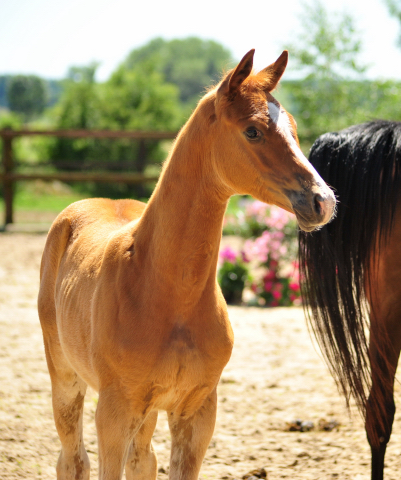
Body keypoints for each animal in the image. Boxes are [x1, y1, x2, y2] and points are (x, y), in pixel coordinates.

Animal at [39, 49, 334, 480]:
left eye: (293, 128)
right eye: (252, 131)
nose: (322, 201)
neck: (166, 293)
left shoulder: (197, 410)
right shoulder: (114, 412)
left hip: (146, 411)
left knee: (143, 460)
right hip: (65, 376)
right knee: (73, 459)